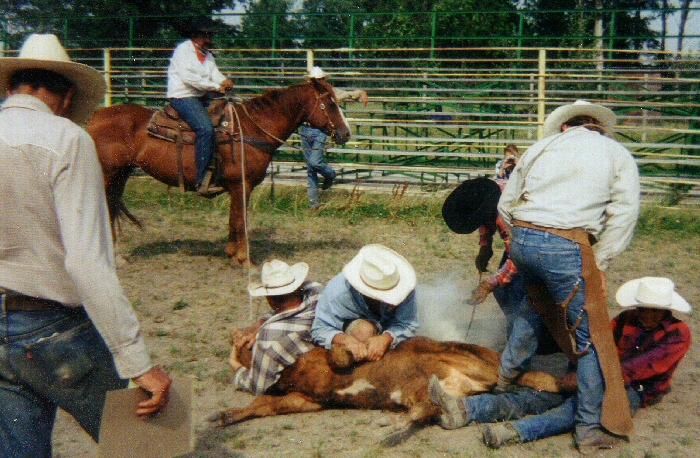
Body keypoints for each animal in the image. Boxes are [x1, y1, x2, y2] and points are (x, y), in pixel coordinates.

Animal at [87, 78, 350, 264]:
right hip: (107, 175)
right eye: (330, 104)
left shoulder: (235, 187)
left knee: (111, 207)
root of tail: (95, 115)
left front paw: (231, 254)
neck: (250, 129)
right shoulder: (242, 185)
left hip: (121, 175)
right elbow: (241, 219)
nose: (345, 133)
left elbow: (233, 219)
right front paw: (244, 259)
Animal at [213, 336, 564, 444]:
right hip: (428, 388)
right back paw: (392, 423)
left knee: (422, 409)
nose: (233, 342)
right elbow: (266, 404)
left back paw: (388, 425)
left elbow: (339, 354)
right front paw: (225, 416)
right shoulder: (308, 400)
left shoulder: (323, 376)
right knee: (428, 408)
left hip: (431, 362)